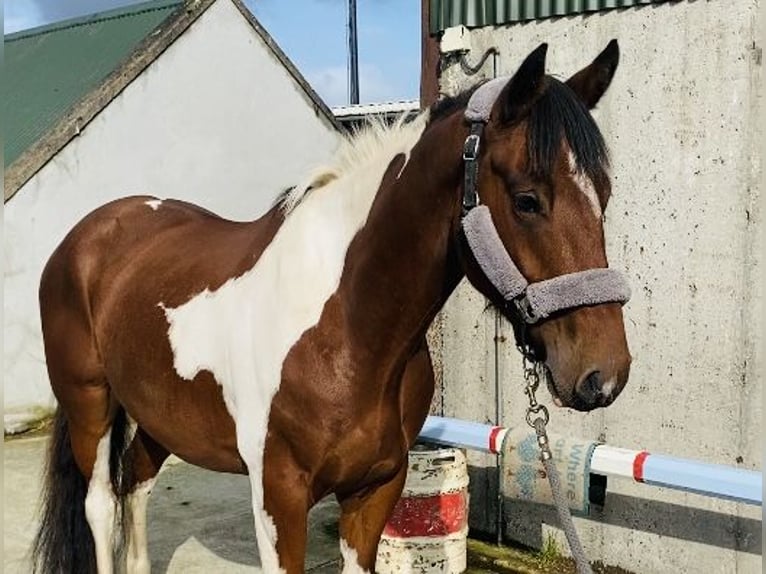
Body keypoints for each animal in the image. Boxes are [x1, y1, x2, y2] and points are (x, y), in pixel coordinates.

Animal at [31, 41, 632, 574]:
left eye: (603, 195)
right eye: (528, 200)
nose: (603, 375)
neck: (347, 328)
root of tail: (88, 234)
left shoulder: (376, 489)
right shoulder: (278, 498)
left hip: (159, 416)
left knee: (135, 486)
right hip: (90, 403)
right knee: (100, 503)